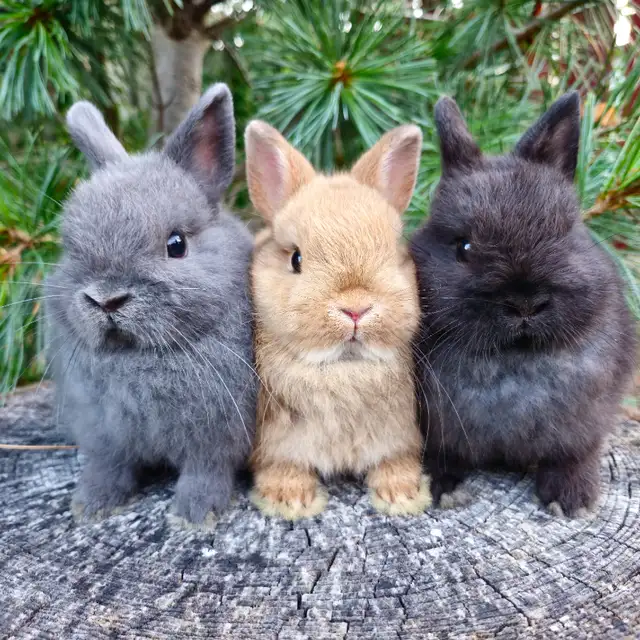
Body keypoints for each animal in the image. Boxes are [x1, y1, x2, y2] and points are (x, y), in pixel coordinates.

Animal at [44, 84, 257, 526]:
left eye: (176, 245)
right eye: (71, 248)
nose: (106, 299)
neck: (136, 357)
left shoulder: (216, 437)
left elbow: (205, 472)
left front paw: (194, 515)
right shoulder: (105, 435)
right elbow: (109, 467)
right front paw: (91, 505)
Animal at [245, 120, 432, 520]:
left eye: (393, 255)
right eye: (296, 259)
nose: (355, 309)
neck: (343, 369)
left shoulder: (399, 434)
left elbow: (396, 460)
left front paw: (402, 495)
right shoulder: (275, 442)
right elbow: (282, 465)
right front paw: (288, 499)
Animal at [410, 91, 637, 517]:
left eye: (564, 234)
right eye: (464, 247)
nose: (525, 303)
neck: (513, 357)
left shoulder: (586, 422)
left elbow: (574, 453)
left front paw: (571, 500)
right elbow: (442, 454)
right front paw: (438, 486)